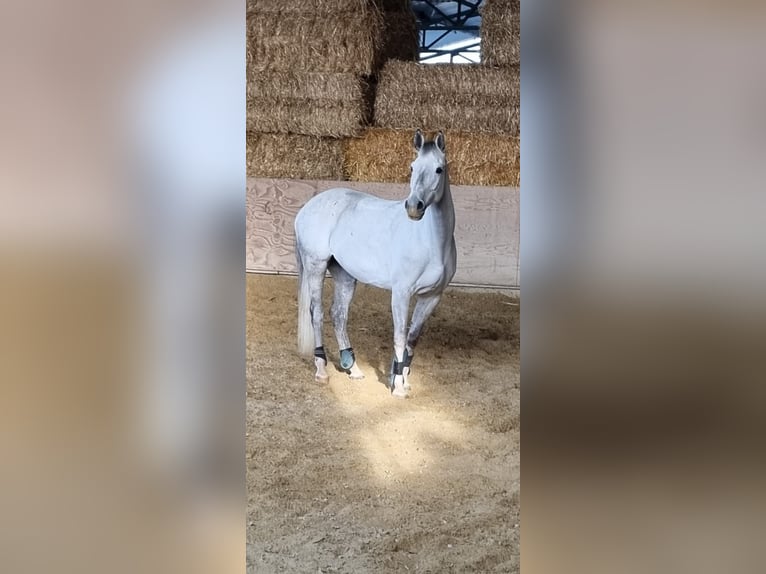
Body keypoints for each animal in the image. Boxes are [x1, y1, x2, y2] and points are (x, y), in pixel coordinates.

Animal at [294, 130, 456, 400]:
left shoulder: (432, 297)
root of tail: (306, 208)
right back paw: (322, 370)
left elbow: (412, 338)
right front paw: (398, 386)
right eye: (412, 167)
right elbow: (399, 337)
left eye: (439, 169)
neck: (430, 242)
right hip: (315, 266)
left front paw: (403, 380)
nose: (414, 207)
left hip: (345, 275)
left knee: (338, 314)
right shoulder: (401, 294)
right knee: (316, 313)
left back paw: (353, 368)